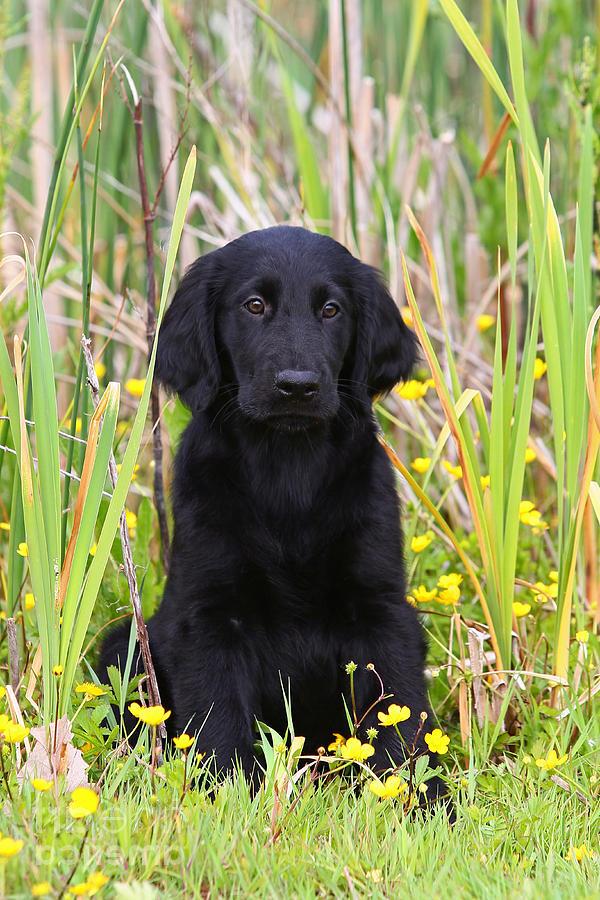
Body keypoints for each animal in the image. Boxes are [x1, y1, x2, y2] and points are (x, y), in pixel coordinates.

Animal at [101, 225, 446, 800]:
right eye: (254, 305)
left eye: (330, 309)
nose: (297, 385)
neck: (288, 466)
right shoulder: (211, 614)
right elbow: (218, 716)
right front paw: (227, 796)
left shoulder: (379, 606)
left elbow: (401, 711)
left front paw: (419, 800)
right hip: (123, 640)